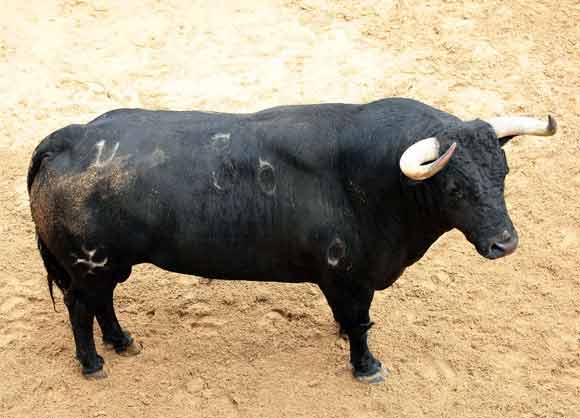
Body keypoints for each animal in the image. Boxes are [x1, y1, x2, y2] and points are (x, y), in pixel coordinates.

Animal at [28, 97, 556, 382]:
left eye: (503, 173)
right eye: (454, 188)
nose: (505, 243)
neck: (379, 183)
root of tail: (67, 138)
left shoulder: (346, 281)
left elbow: (352, 319)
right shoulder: (349, 276)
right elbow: (361, 323)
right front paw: (366, 366)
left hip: (109, 264)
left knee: (101, 303)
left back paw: (123, 342)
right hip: (90, 263)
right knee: (80, 307)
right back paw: (93, 362)